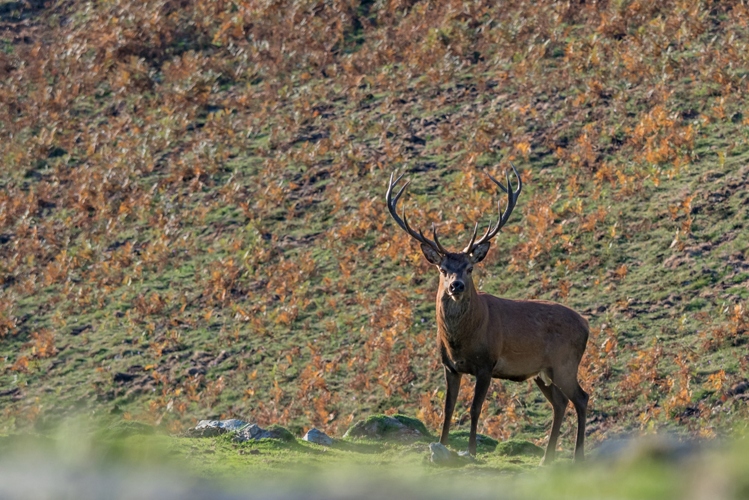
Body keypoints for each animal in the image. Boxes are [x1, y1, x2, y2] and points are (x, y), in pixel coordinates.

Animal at [385, 164, 589, 463]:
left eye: (470, 268)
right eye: (442, 269)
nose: (456, 285)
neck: (460, 342)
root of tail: (587, 325)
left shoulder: (486, 364)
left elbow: (474, 409)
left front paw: (470, 451)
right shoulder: (449, 366)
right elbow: (447, 409)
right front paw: (441, 446)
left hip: (566, 363)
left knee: (582, 398)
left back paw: (577, 456)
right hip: (542, 371)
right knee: (561, 402)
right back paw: (546, 458)